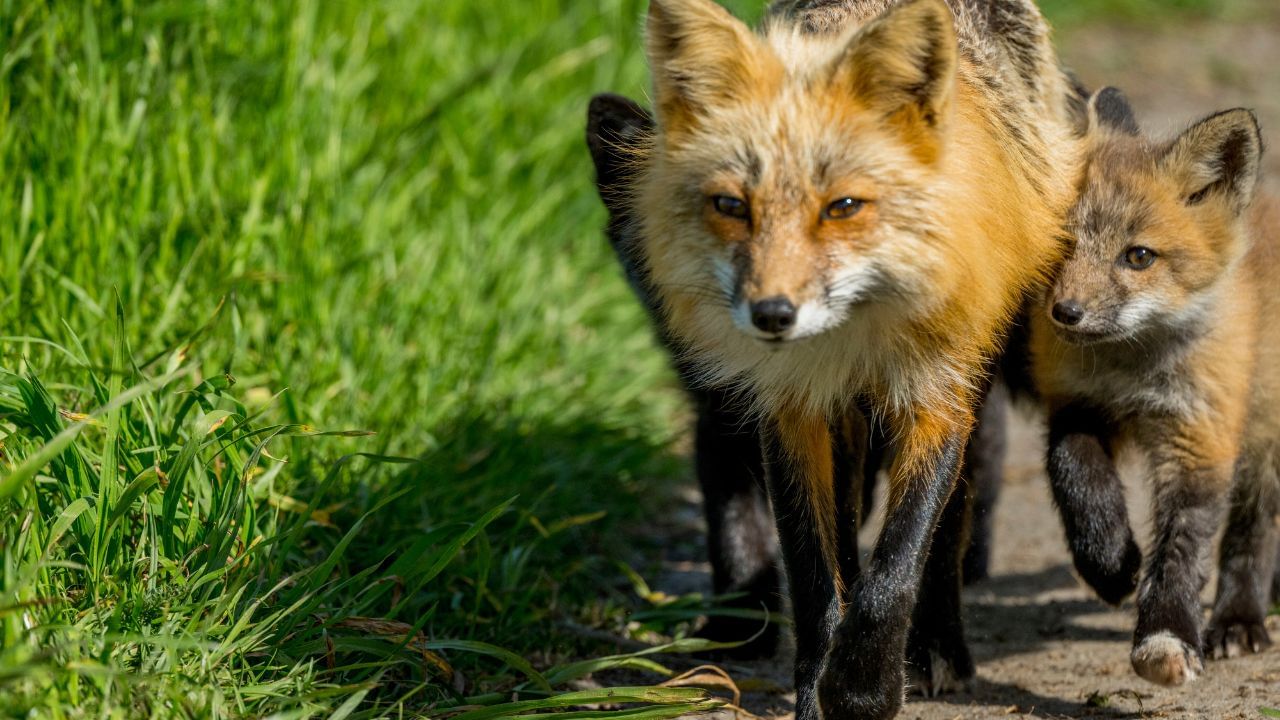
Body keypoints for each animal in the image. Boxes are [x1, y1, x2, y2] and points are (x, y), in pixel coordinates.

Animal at [629, 1, 1080, 712]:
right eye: (732, 206)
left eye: (842, 207)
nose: (772, 314)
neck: (855, 342)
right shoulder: (792, 412)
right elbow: (817, 573)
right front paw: (820, 687)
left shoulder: (935, 397)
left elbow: (896, 567)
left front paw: (866, 687)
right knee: (844, 531)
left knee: (951, 523)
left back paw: (938, 647)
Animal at [1029, 88, 1269, 681]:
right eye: (1062, 244)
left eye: (1138, 256)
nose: (1065, 313)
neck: (1133, 371)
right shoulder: (1077, 404)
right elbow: (1073, 473)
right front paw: (1109, 562)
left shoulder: (1200, 434)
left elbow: (1183, 545)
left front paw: (1166, 636)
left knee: (1254, 529)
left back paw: (1240, 618)